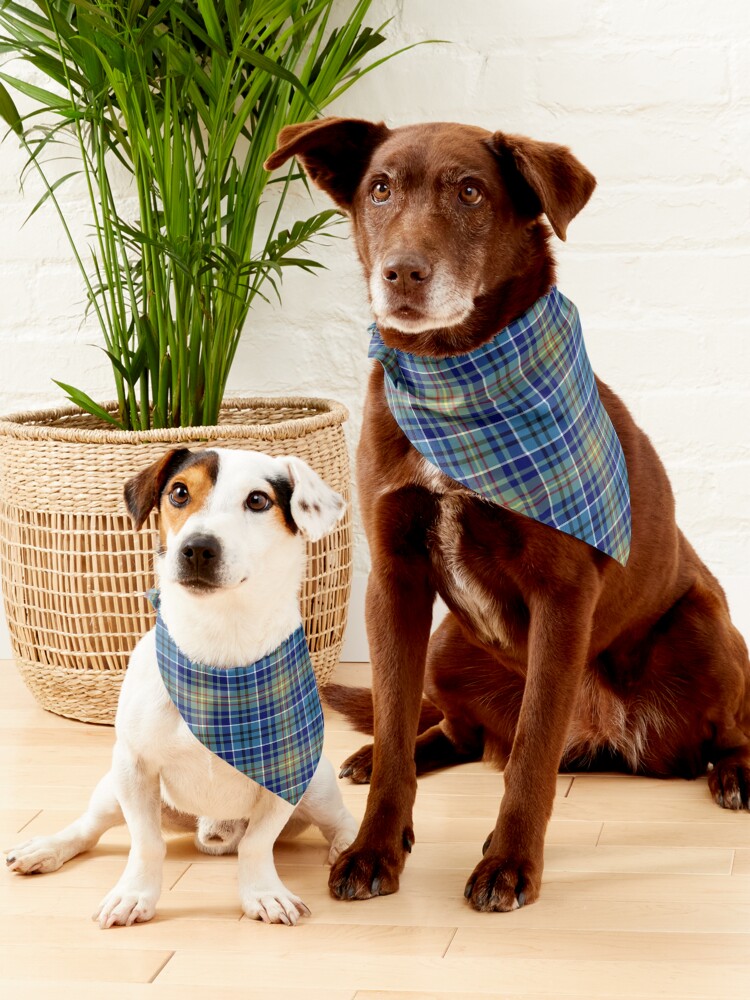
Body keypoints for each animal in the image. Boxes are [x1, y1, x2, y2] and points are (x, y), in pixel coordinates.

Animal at [5, 450, 358, 924]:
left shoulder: (287, 774)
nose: (198, 547)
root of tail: (213, 829)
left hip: (317, 786)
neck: (217, 645)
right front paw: (134, 894)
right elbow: (146, 843)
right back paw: (46, 848)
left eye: (258, 500)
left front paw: (263, 893)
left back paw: (349, 849)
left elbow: (257, 844)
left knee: (340, 820)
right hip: (113, 788)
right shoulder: (133, 766)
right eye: (179, 492)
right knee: (89, 828)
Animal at [266, 121, 750, 912]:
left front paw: (508, 863)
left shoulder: (562, 597)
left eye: (470, 192)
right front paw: (374, 847)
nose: (402, 273)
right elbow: (397, 722)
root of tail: (611, 740)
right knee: (454, 730)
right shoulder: (393, 581)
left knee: (728, 726)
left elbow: (530, 754)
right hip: (448, 647)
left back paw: (735, 773)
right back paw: (379, 754)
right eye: (380, 188)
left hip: (702, 632)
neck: (452, 374)